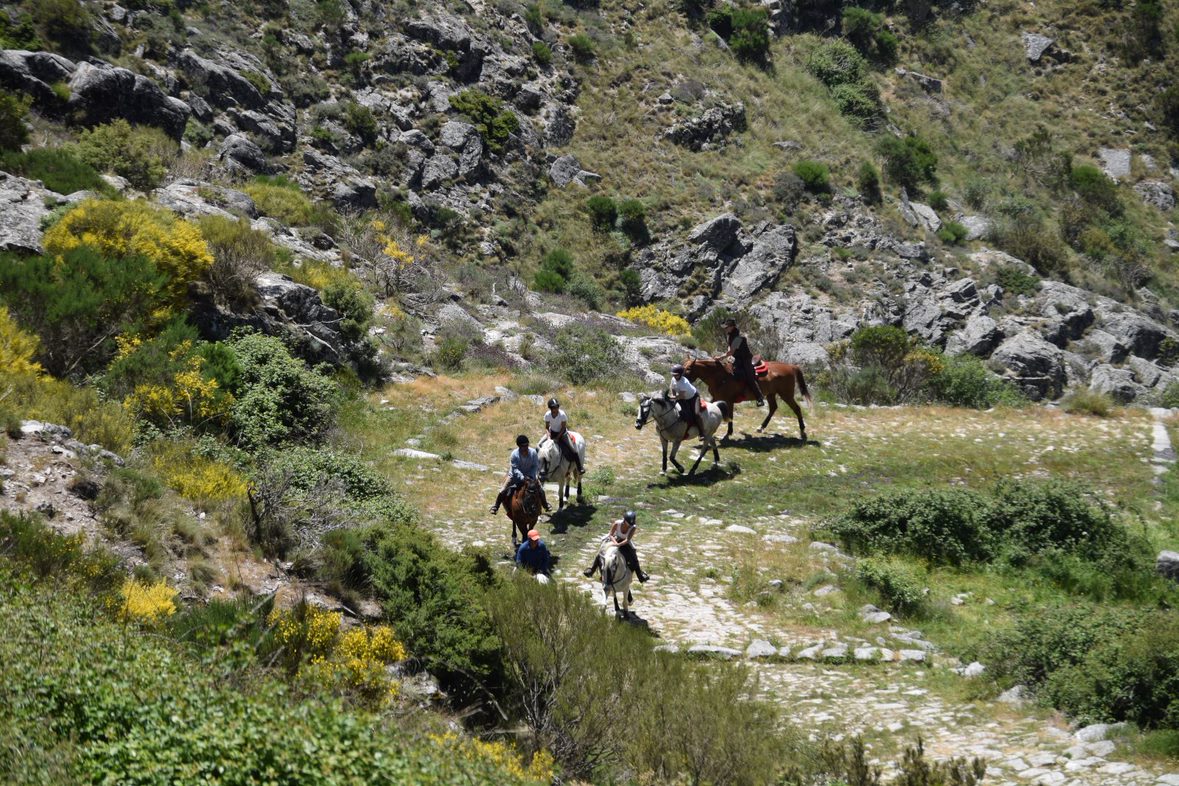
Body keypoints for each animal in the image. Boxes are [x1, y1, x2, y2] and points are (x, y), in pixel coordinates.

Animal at [682, 356, 812, 440]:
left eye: (688, 369)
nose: (681, 380)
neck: (720, 376)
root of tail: (791, 366)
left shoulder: (729, 400)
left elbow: (730, 416)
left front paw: (728, 434)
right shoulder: (716, 397)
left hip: (786, 394)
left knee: (796, 409)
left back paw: (802, 431)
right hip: (771, 394)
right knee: (773, 408)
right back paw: (761, 427)